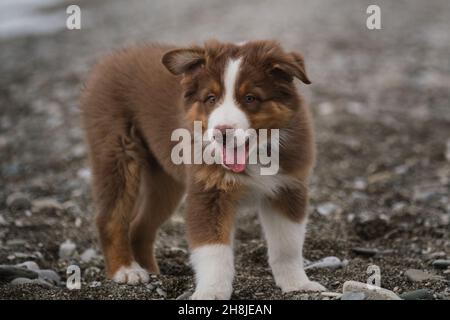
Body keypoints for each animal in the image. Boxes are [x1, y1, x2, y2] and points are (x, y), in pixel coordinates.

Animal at [81, 40, 326, 300]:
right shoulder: (208, 193)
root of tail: (113, 57)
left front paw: (298, 284)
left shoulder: (288, 188)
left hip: (165, 183)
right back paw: (126, 270)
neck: (253, 157)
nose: (222, 133)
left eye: (250, 98)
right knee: (110, 217)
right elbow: (214, 251)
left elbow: (287, 244)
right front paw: (212, 291)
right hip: (117, 151)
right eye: (211, 98)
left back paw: (153, 273)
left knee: (140, 225)